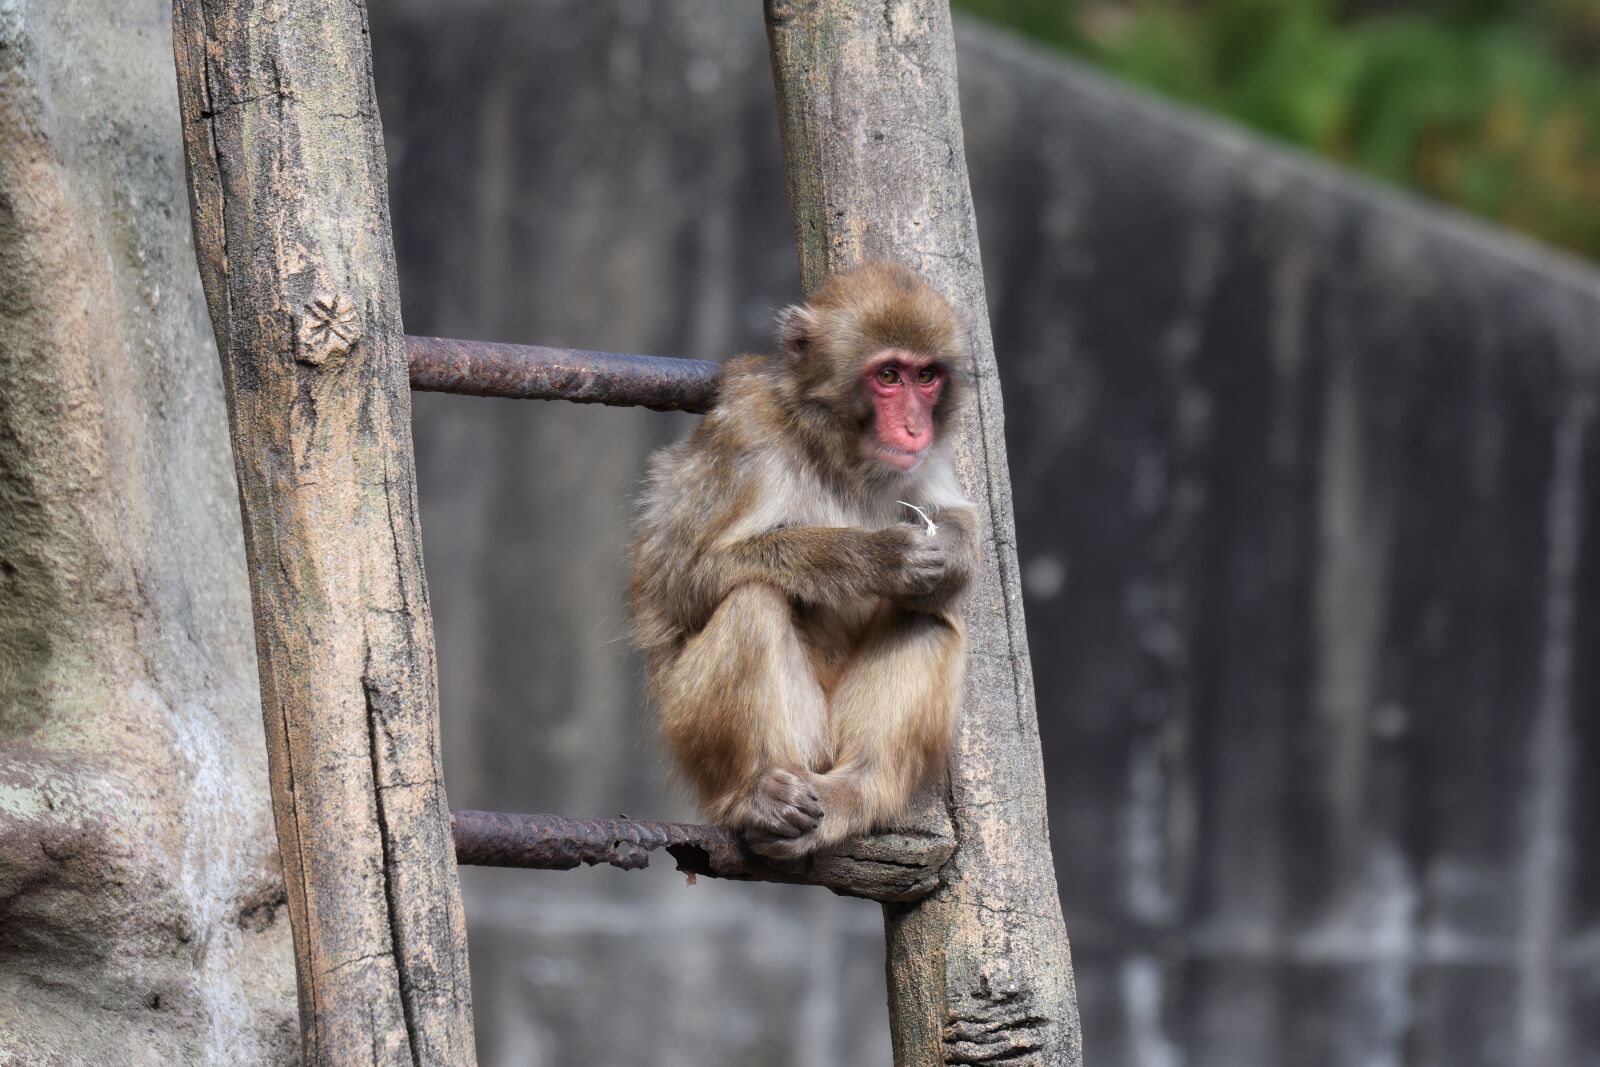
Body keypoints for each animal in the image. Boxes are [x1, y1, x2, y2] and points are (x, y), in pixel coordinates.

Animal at [628, 261, 980, 860]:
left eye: (927, 376)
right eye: (889, 376)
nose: (916, 427)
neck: (837, 450)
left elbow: (960, 528)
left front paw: (949, 551)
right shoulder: (744, 435)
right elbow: (680, 584)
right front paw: (880, 556)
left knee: (928, 614)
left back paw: (856, 790)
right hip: (697, 727)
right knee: (753, 600)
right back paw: (753, 796)